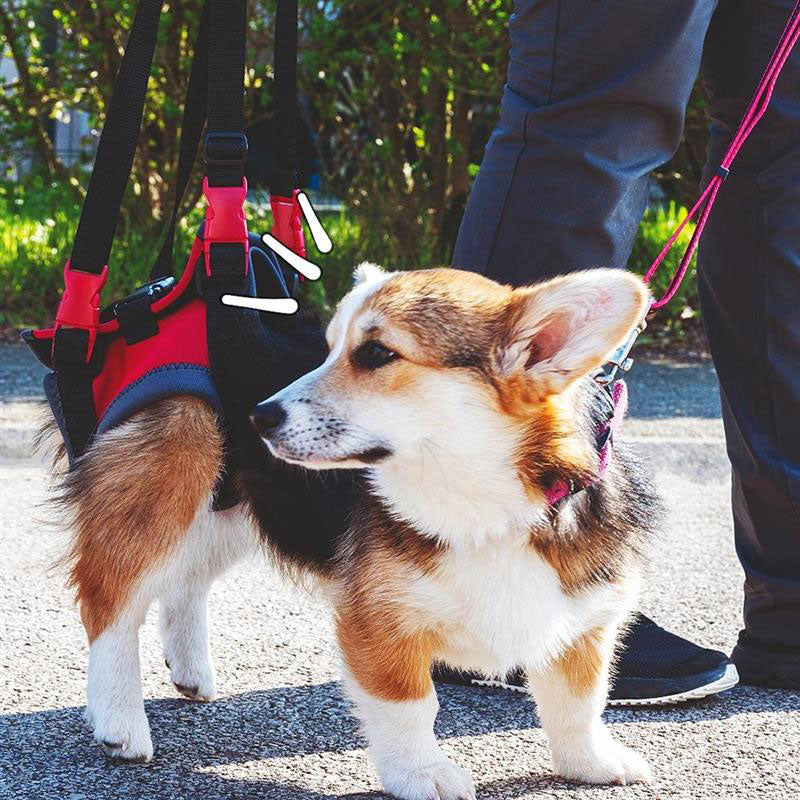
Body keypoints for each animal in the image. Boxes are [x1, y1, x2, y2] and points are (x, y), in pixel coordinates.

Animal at [47, 264, 657, 798]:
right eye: (331, 349)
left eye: (376, 353)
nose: (259, 416)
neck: (487, 511)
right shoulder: (378, 621)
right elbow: (410, 704)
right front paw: (422, 773)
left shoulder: (584, 619)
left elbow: (578, 699)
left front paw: (589, 762)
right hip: (176, 462)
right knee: (110, 600)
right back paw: (120, 719)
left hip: (237, 509)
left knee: (186, 581)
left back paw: (191, 670)